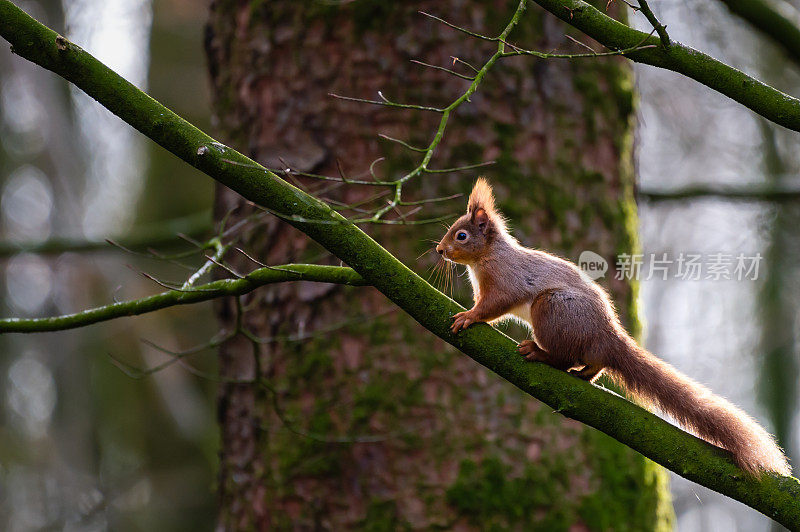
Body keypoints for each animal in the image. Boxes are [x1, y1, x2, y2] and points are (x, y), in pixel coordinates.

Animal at [440, 177, 792, 476]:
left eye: (462, 235)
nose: (439, 250)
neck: (487, 257)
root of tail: (608, 337)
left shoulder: (505, 281)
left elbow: (493, 306)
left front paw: (469, 316)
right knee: (592, 363)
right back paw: (585, 373)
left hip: (551, 309)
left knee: (563, 357)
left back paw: (541, 353)